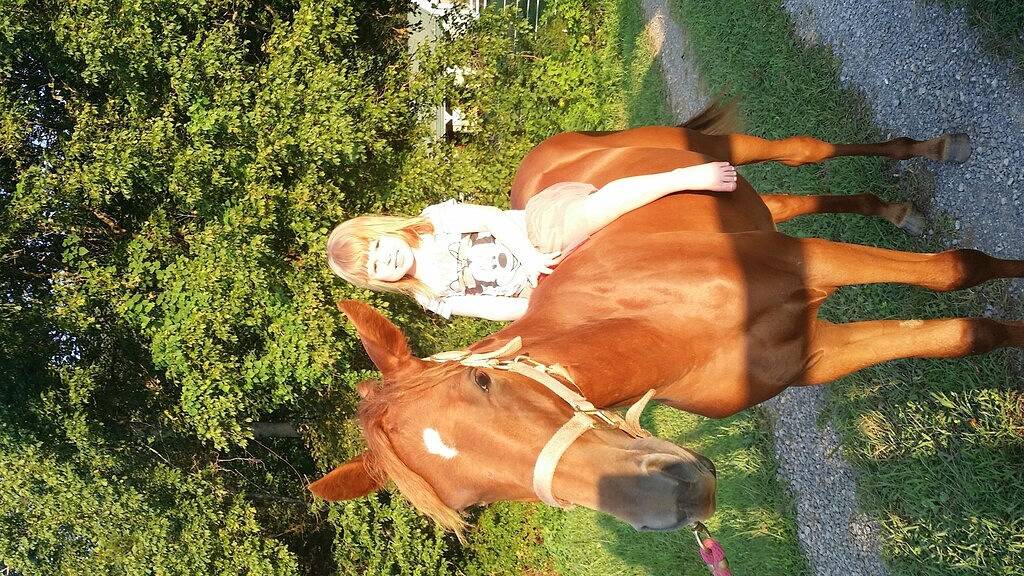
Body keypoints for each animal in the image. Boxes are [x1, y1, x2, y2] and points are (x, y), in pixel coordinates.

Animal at [310, 111, 1022, 536]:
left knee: (802, 152)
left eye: (481, 383)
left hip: (719, 147)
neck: (661, 319)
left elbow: (956, 272)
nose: (670, 498)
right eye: (472, 505)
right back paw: (893, 208)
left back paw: (935, 150)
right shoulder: (816, 356)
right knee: (791, 197)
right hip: (755, 211)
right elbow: (965, 336)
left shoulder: (807, 263)